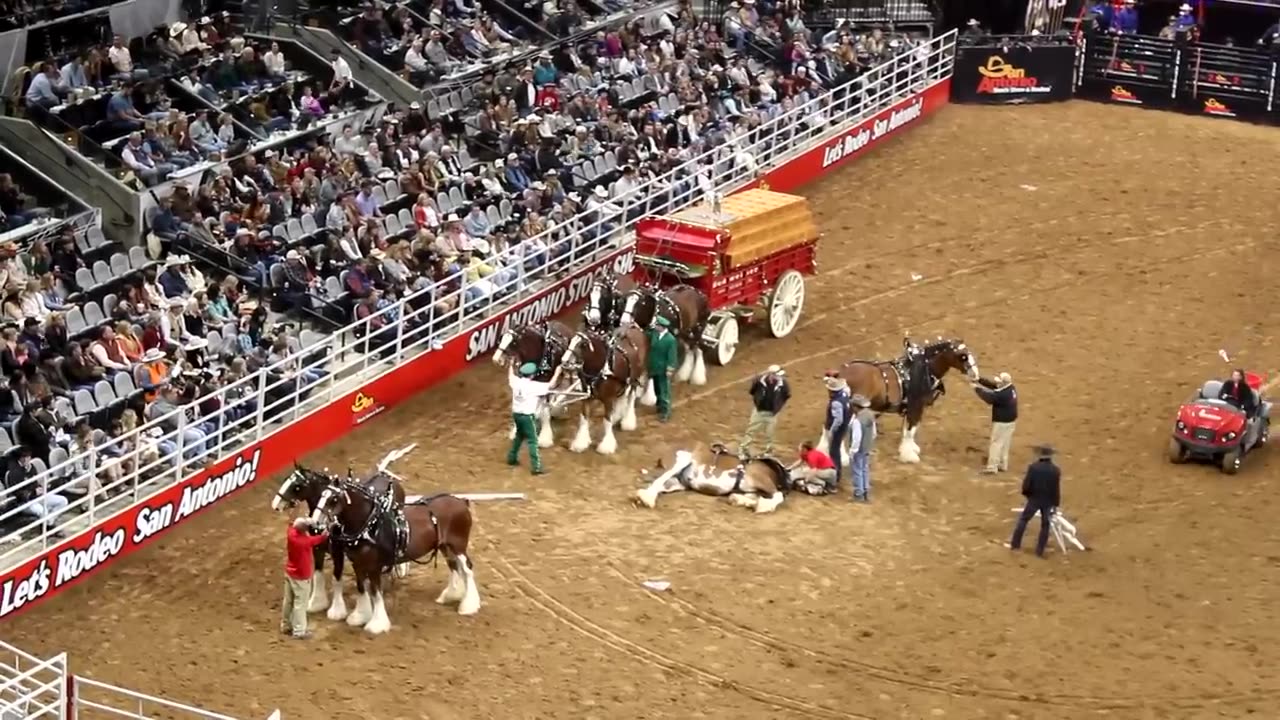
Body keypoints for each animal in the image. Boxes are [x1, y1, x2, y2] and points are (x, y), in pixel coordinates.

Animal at [634, 438, 793, 509]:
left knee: (657, 485)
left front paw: (739, 500)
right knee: (658, 481)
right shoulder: (762, 480)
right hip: (681, 460)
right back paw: (647, 499)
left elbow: (751, 497)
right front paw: (763, 506)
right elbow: (778, 496)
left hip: (677, 483)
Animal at [819, 338, 977, 466]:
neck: (923, 369)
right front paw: (909, 455)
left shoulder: (910, 407)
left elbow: (908, 429)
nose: (975, 374)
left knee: (828, 427)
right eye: (963, 356)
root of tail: (840, 374)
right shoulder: (916, 406)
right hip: (851, 408)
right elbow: (911, 429)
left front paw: (910, 449)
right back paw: (843, 458)